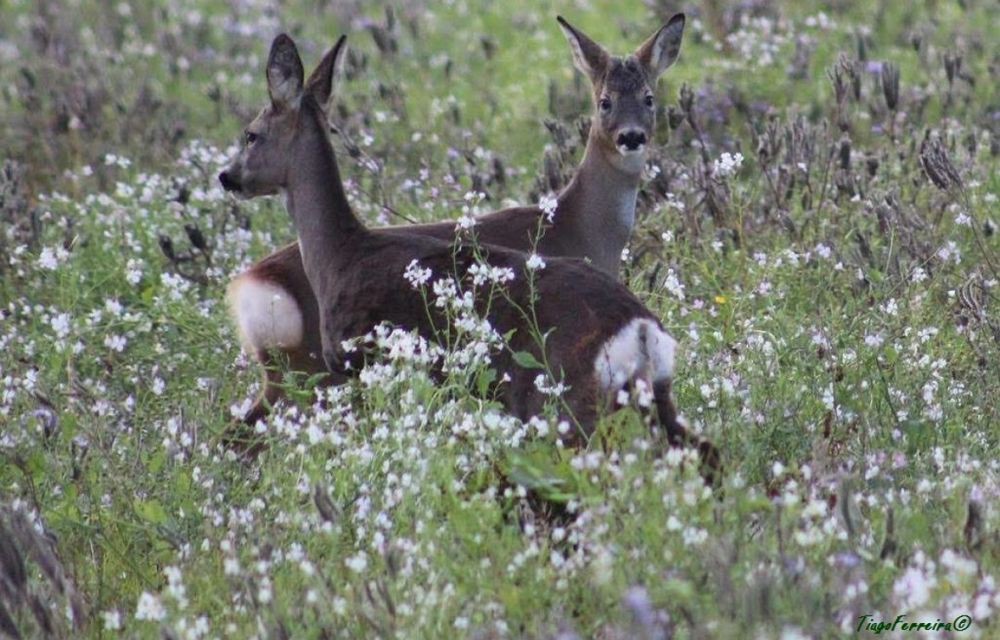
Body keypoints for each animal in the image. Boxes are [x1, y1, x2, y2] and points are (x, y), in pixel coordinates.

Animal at [219, 32, 720, 482]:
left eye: (251, 134)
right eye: (605, 101)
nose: (227, 177)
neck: (341, 253)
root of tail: (640, 330)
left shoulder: (360, 367)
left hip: (559, 399)